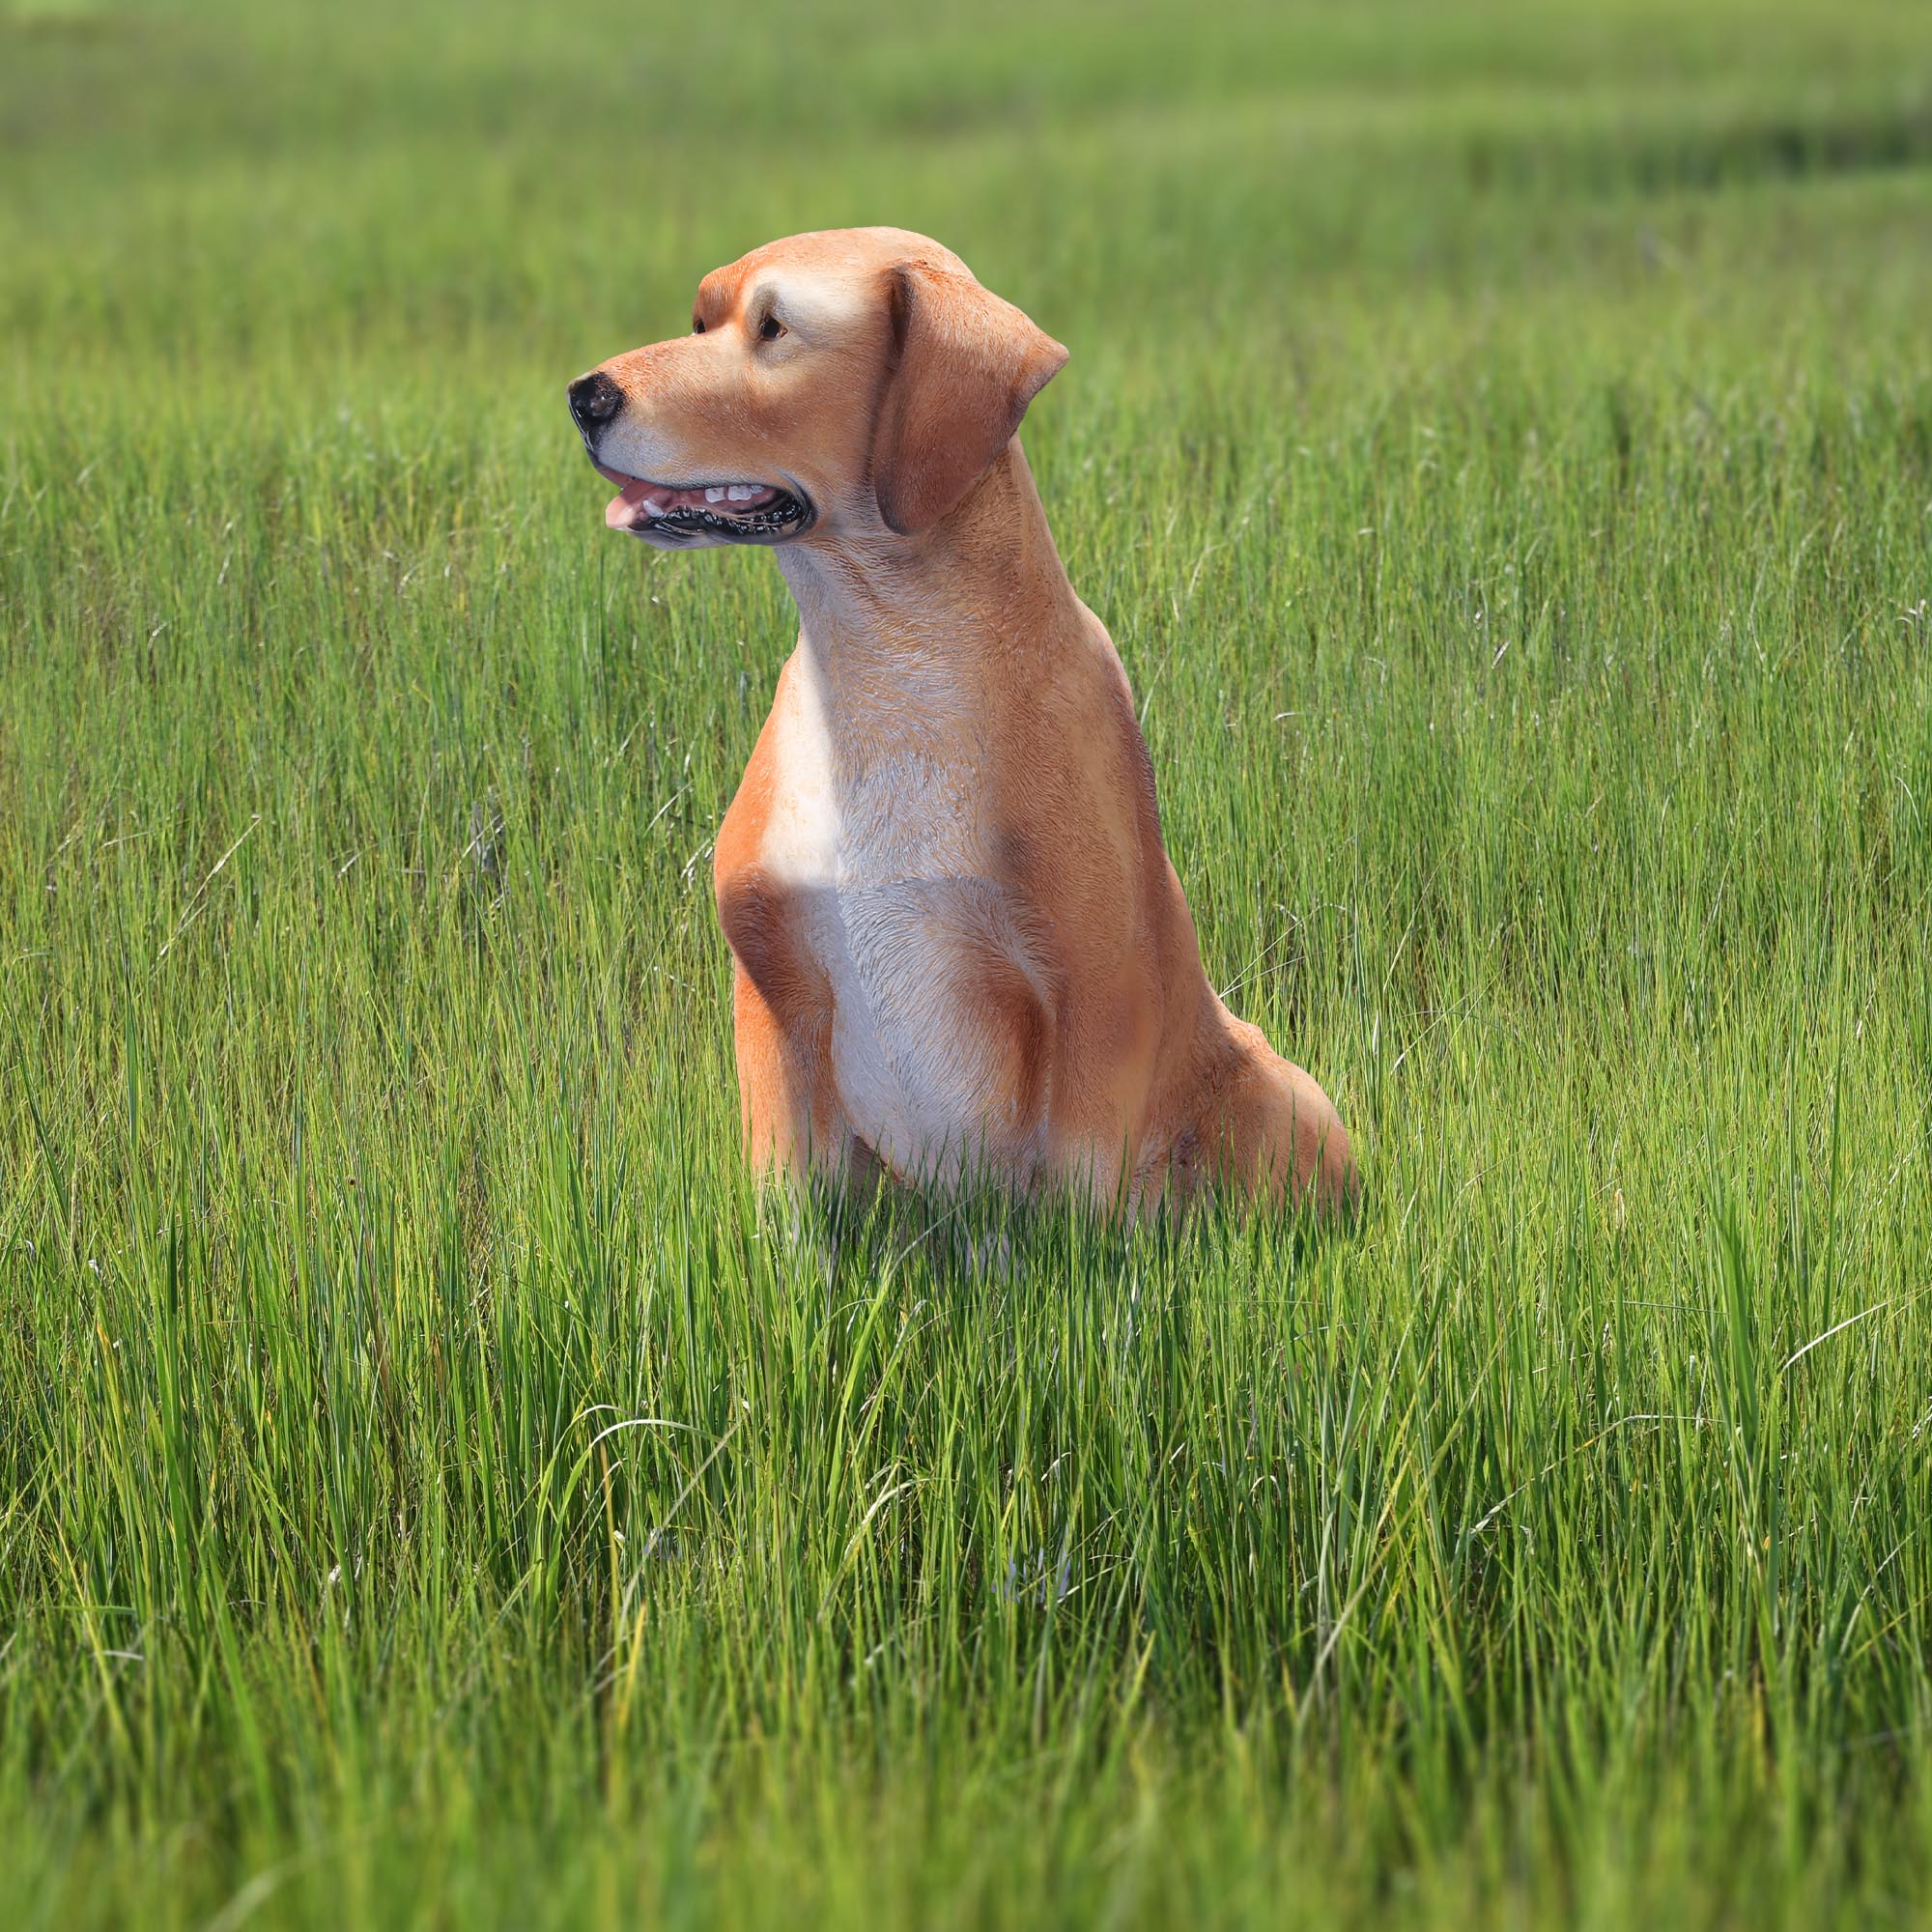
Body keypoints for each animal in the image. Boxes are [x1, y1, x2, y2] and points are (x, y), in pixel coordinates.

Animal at [568, 230, 1360, 1206]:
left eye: (774, 327)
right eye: (699, 320)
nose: (585, 396)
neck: (884, 665)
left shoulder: (1097, 1003)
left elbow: (1080, 1209)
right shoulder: (774, 1003)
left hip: (1283, 1094)